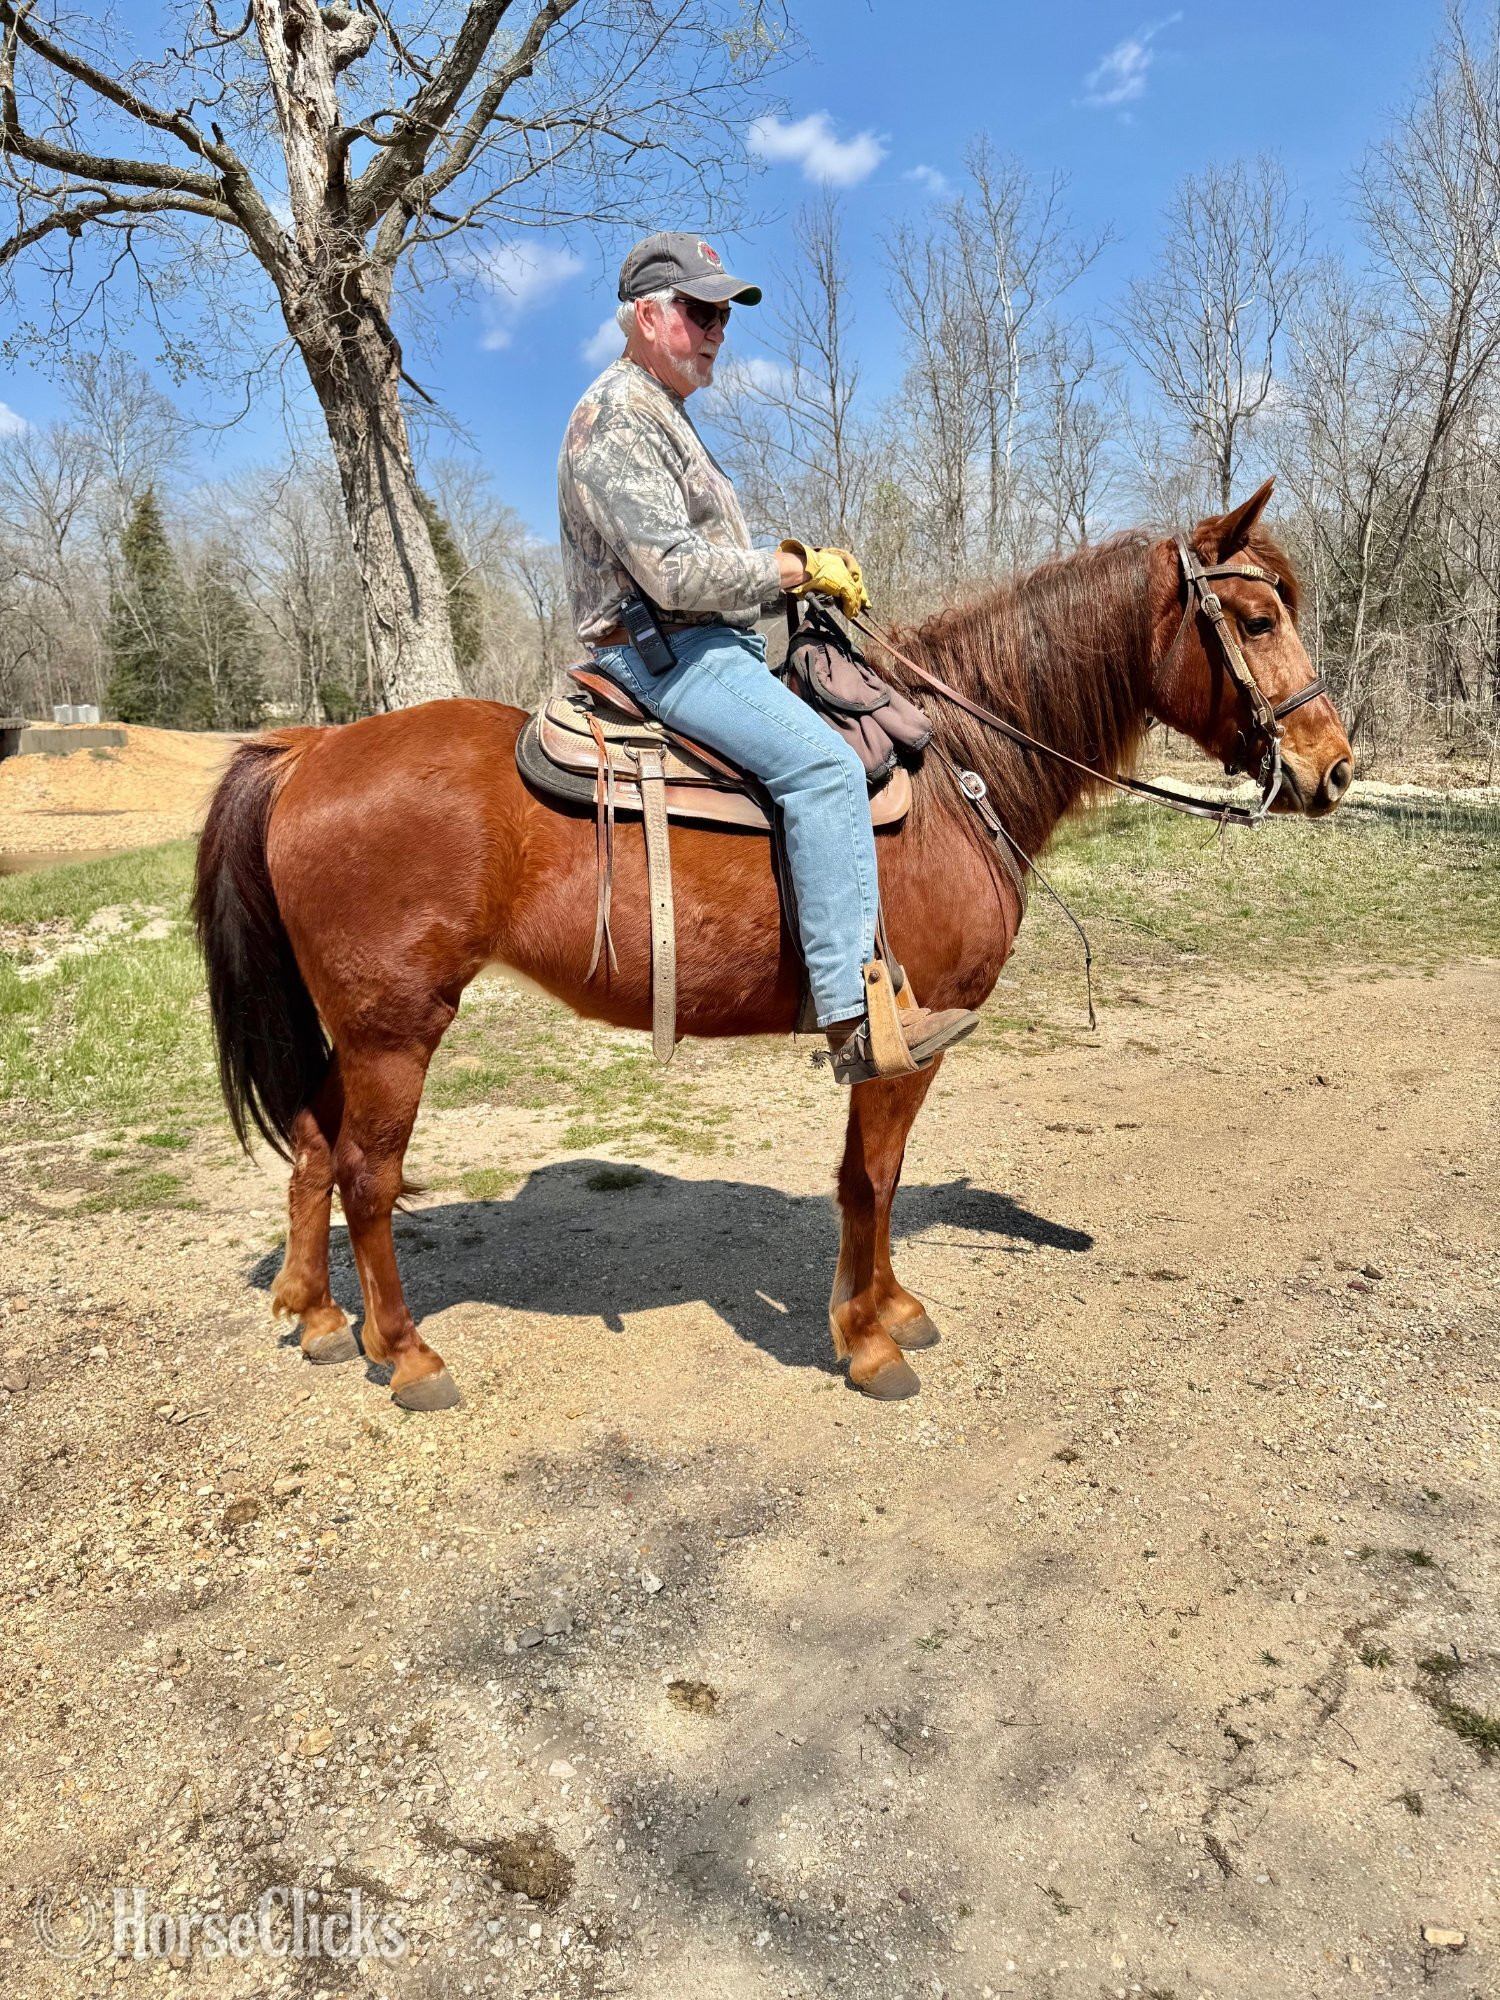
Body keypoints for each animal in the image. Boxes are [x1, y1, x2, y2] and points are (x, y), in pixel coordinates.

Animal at [193, 480, 1353, 1410]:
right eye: (1255, 617)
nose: (1333, 767)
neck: (957, 770)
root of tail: (308, 749)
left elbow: (873, 1174)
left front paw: (891, 1304)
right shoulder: (904, 1035)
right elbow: (872, 1178)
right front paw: (868, 1339)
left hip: (358, 1025)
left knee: (312, 1144)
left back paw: (318, 1317)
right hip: (397, 1028)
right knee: (366, 1174)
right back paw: (408, 1352)